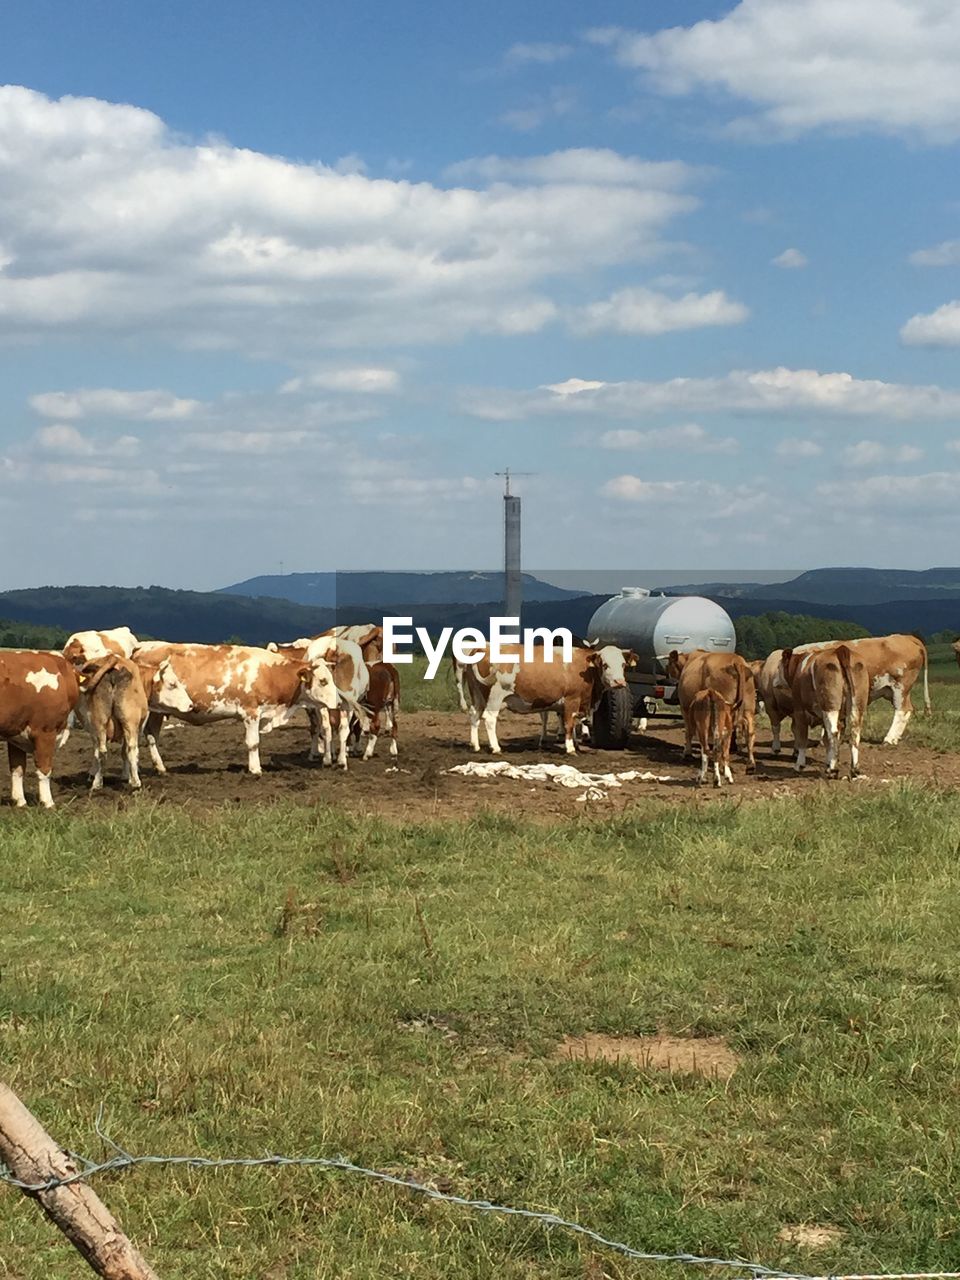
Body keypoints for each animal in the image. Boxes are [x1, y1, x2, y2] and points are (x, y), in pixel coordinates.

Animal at [0, 655, 80, 803]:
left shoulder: (15, 733)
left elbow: (17, 768)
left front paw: (20, 801)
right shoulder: (45, 731)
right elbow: (45, 769)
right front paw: (48, 802)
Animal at [133, 645, 343, 773]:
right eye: (323, 681)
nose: (339, 702)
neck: (270, 673)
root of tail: (140, 647)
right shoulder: (251, 712)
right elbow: (253, 743)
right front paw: (255, 769)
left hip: (157, 712)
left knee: (152, 735)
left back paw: (160, 767)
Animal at [453, 645, 634, 752]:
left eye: (623, 664)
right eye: (605, 664)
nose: (619, 682)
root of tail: (481, 648)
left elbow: (571, 723)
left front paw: (575, 743)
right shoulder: (571, 700)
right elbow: (568, 724)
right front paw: (570, 748)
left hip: (478, 696)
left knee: (474, 715)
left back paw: (475, 745)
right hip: (495, 697)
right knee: (490, 719)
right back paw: (496, 747)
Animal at [670, 645, 757, 773]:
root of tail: (737, 661)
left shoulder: (685, 707)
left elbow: (689, 731)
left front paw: (687, 754)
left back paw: (721, 764)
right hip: (749, 706)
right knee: (749, 732)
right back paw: (750, 764)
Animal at [783, 645, 875, 773]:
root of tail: (840, 649)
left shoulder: (799, 709)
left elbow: (802, 737)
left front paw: (799, 765)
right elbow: (826, 739)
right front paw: (830, 760)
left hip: (830, 704)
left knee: (833, 732)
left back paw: (832, 770)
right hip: (857, 704)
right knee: (854, 732)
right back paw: (854, 769)